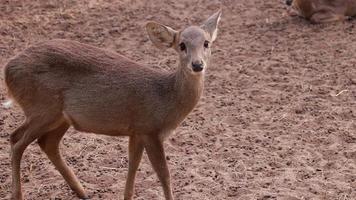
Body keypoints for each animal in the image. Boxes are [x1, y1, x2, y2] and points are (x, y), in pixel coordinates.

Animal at [2, 10, 221, 200]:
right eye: (182, 45)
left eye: (206, 43)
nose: (197, 64)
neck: (166, 98)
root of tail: (7, 70)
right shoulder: (150, 129)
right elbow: (164, 174)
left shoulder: (137, 131)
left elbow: (133, 165)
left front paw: (127, 196)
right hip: (42, 108)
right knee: (17, 140)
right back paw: (18, 195)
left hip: (59, 117)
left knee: (45, 143)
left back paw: (82, 191)